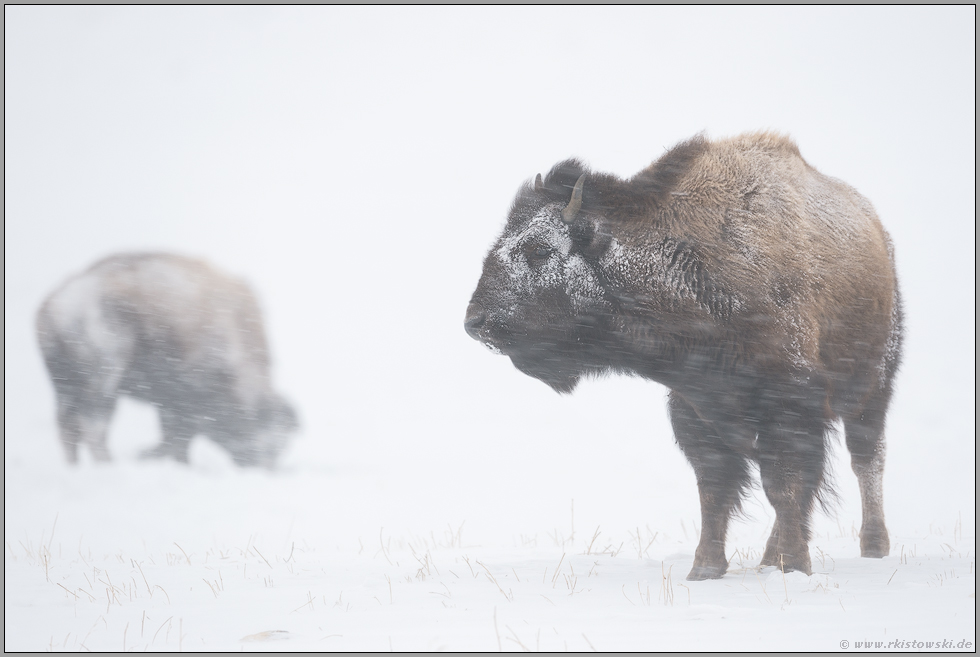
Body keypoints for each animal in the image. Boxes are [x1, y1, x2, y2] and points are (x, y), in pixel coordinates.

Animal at [37, 251, 298, 466]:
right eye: (276, 443)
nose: (265, 467)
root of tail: (54, 306)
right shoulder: (187, 394)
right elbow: (179, 434)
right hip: (104, 380)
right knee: (92, 427)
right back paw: (108, 466)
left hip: (66, 387)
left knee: (68, 428)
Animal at [468, 132, 904, 580]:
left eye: (539, 250)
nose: (475, 321)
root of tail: (878, 234)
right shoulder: (696, 410)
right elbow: (714, 490)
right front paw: (705, 569)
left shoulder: (789, 405)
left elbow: (784, 485)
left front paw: (795, 565)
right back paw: (771, 555)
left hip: (873, 387)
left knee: (867, 458)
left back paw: (873, 546)